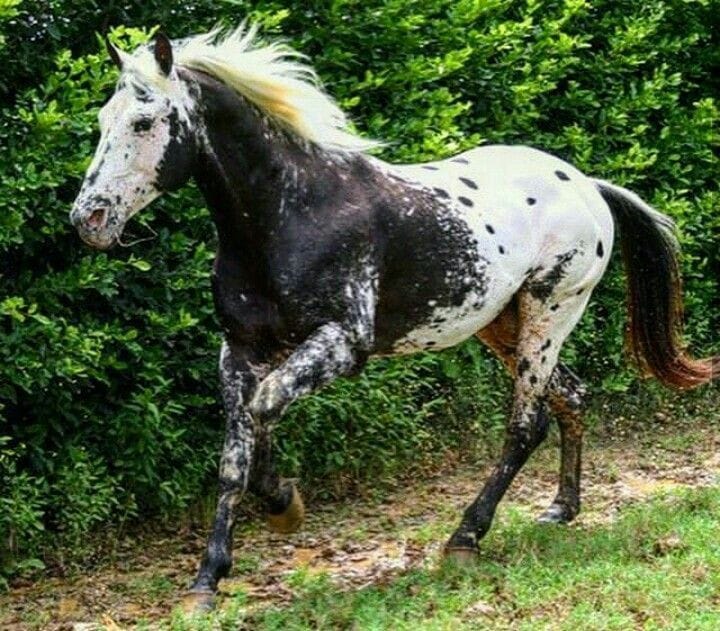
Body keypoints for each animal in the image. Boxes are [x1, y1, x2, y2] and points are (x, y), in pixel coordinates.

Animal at [70, 25, 716, 612]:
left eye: (144, 122)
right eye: (103, 119)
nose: (90, 219)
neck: (291, 211)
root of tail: (588, 186)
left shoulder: (340, 344)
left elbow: (265, 408)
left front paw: (284, 506)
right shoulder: (240, 350)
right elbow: (234, 455)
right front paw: (206, 582)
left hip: (549, 312)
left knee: (525, 424)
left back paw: (465, 539)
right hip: (501, 326)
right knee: (572, 396)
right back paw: (561, 508)